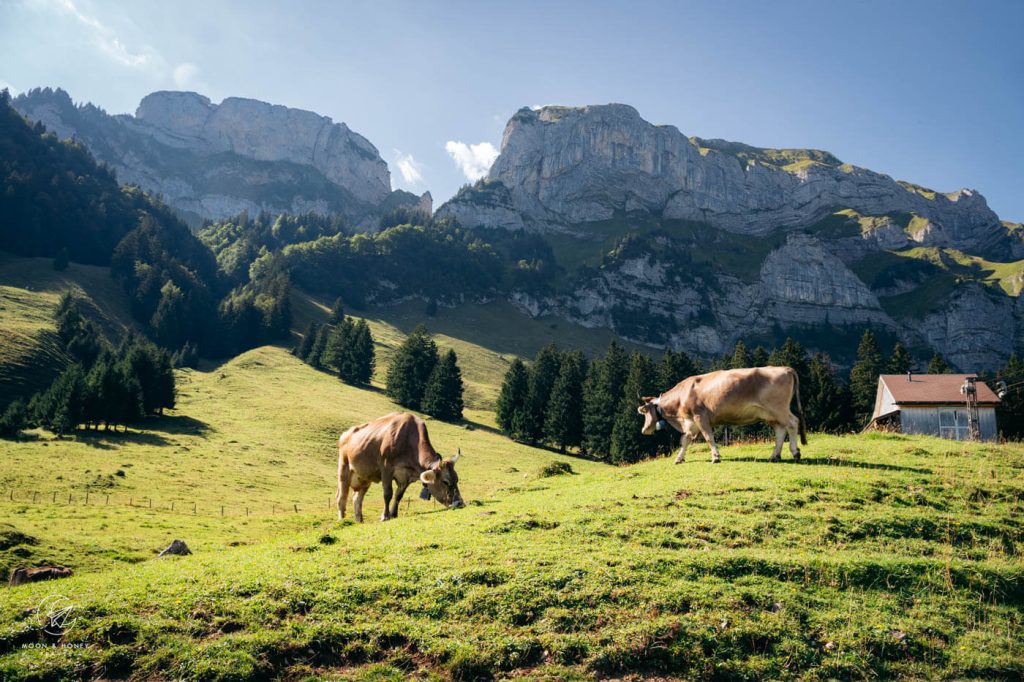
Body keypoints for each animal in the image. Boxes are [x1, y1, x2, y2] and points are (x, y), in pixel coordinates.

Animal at [335, 409, 464, 520]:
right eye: (445, 482)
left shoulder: (405, 477)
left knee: (357, 499)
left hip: (365, 477)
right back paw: (342, 520)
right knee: (342, 497)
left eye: (457, 479)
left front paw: (394, 514)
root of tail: (345, 434)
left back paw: (359, 521)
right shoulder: (386, 468)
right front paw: (385, 516)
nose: (460, 503)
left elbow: (398, 495)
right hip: (344, 469)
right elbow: (388, 493)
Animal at [630, 366, 806, 462]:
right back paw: (774, 456)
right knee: (780, 430)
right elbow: (685, 440)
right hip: (770, 414)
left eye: (644, 412)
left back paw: (795, 452)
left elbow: (708, 437)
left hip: (778, 408)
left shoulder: (700, 417)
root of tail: (784, 368)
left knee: (792, 423)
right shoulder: (691, 422)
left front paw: (715, 456)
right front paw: (679, 458)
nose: (644, 430)